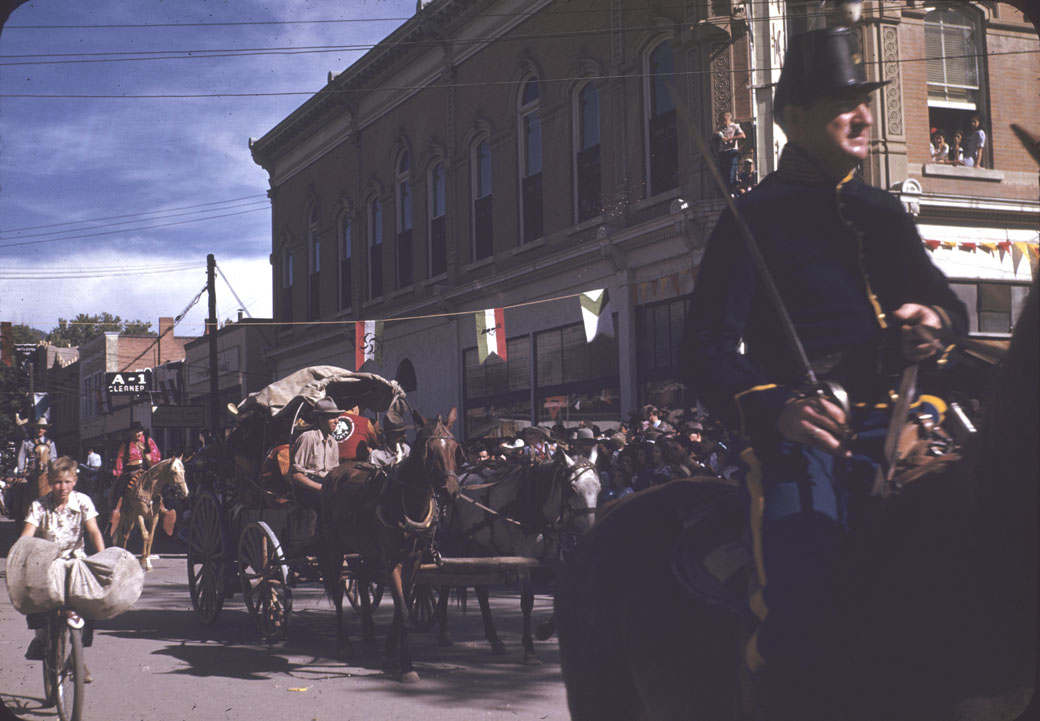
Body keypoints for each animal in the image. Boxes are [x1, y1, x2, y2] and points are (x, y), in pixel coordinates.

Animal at [318, 408, 462, 683]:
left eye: (454, 447)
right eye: (428, 450)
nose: (451, 491)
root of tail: (335, 473)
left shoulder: (414, 559)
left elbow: (401, 604)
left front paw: (389, 650)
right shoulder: (391, 560)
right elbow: (403, 609)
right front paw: (407, 665)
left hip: (361, 549)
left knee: (362, 580)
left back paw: (369, 636)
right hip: (334, 546)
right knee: (339, 589)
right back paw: (344, 642)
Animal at [429, 448, 601, 663]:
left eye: (599, 489)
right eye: (571, 489)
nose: (589, 531)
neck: (535, 502)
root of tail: (459, 480)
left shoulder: (552, 554)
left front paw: (544, 630)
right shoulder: (523, 555)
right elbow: (527, 600)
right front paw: (529, 649)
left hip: (484, 544)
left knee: (481, 590)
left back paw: (495, 639)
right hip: (454, 538)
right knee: (446, 581)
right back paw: (444, 632)